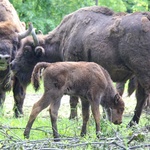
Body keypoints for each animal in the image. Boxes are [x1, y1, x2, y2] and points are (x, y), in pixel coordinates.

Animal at [11, 5, 150, 125]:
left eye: (27, 50)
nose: (13, 65)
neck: (65, 36)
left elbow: (73, 99)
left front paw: (72, 119)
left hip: (142, 72)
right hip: (138, 74)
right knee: (141, 97)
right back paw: (132, 124)